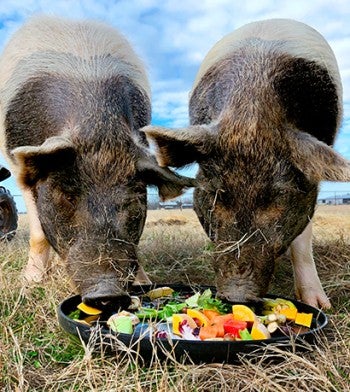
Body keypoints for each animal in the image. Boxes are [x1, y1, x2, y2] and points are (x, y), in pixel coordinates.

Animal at [0, 16, 194, 310]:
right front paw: (30, 283)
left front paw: (143, 284)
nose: (107, 292)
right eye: (67, 195)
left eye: (135, 198)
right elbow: (38, 234)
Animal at [143, 19, 350, 310]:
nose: (237, 295)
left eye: (279, 195)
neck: (250, 109)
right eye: (215, 193)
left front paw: (319, 305)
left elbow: (303, 237)